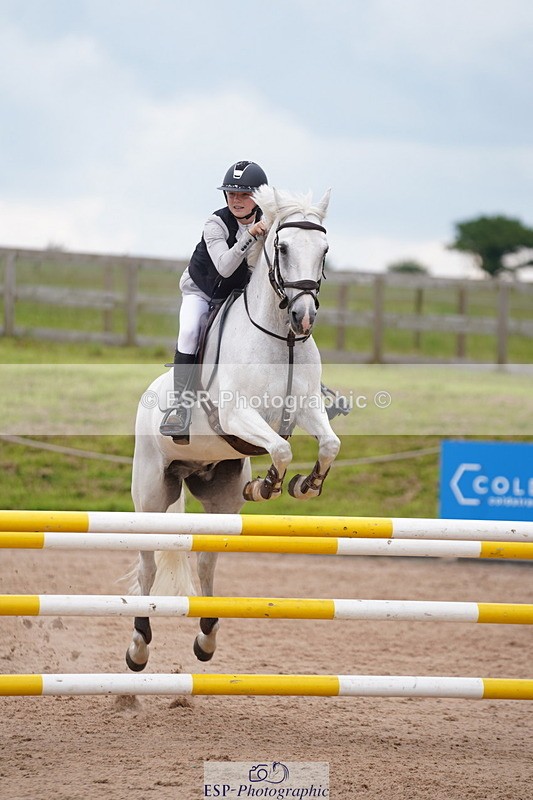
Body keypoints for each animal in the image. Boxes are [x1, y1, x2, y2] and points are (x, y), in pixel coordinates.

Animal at [126, 185, 341, 671]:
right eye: (282, 247)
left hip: (219, 498)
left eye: (324, 251)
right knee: (148, 566)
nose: (304, 317)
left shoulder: (306, 407)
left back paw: (206, 636)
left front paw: (306, 485)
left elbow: (329, 444)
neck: (281, 337)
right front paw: (268, 485)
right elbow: (280, 449)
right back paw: (139, 646)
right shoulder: (237, 414)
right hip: (151, 494)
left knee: (206, 563)